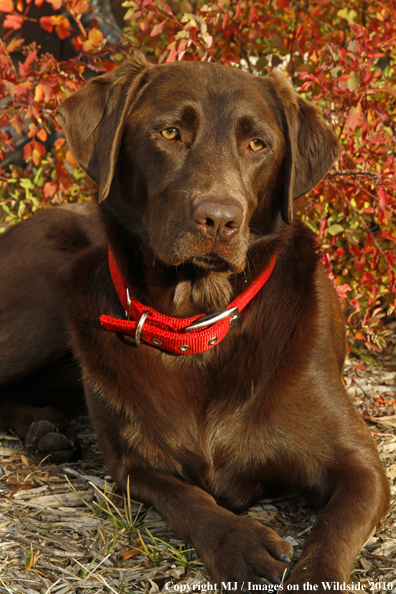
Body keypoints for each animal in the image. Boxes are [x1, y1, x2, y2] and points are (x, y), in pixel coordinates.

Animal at [0, 54, 390, 588]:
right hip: (44, 301)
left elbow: (331, 537)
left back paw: (45, 429)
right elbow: (190, 499)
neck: (197, 324)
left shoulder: (363, 468)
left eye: (258, 144)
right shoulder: (134, 465)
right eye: (169, 133)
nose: (220, 219)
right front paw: (241, 544)